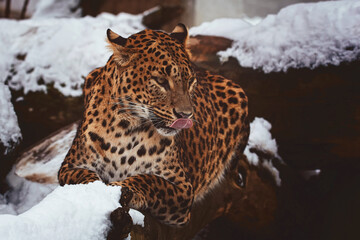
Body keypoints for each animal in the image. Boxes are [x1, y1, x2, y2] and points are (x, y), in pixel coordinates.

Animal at [58, 23, 250, 227]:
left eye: (190, 82)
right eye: (161, 81)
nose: (186, 115)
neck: (126, 128)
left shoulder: (183, 188)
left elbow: (151, 181)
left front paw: (122, 188)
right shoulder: (69, 166)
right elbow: (82, 178)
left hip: (238, 93)